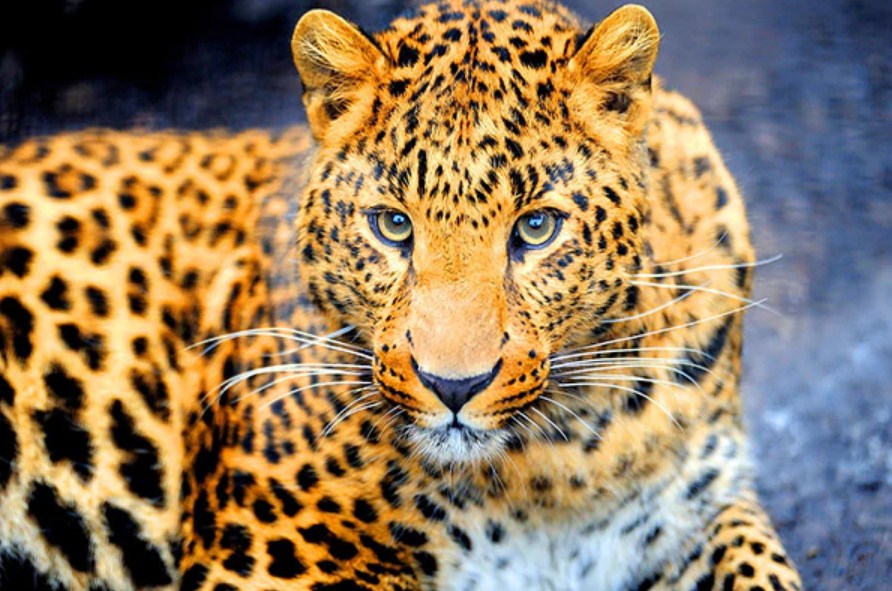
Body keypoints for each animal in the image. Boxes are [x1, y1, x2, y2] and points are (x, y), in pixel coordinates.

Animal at [0, 1, 804, 590]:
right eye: (392, 225)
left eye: (536, 227)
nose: (454, 386)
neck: (555, 466)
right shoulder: (268, 556)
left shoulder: (697, 508)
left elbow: (764, 571)